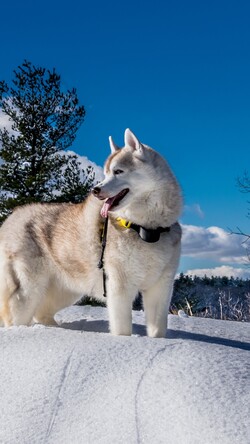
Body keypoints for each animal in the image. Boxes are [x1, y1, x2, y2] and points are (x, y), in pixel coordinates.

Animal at [0, 130, 182, 338]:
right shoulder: (119, 286)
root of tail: (12, 217)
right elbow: (122, 329)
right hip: (28, 290)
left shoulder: (160, 288)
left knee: (42, 312)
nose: (95, 190)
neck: (145, 228)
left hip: (66, 291)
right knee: (15, 316)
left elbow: (158, 330)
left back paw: (56, 330)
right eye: (106, 173)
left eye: (118, 171)